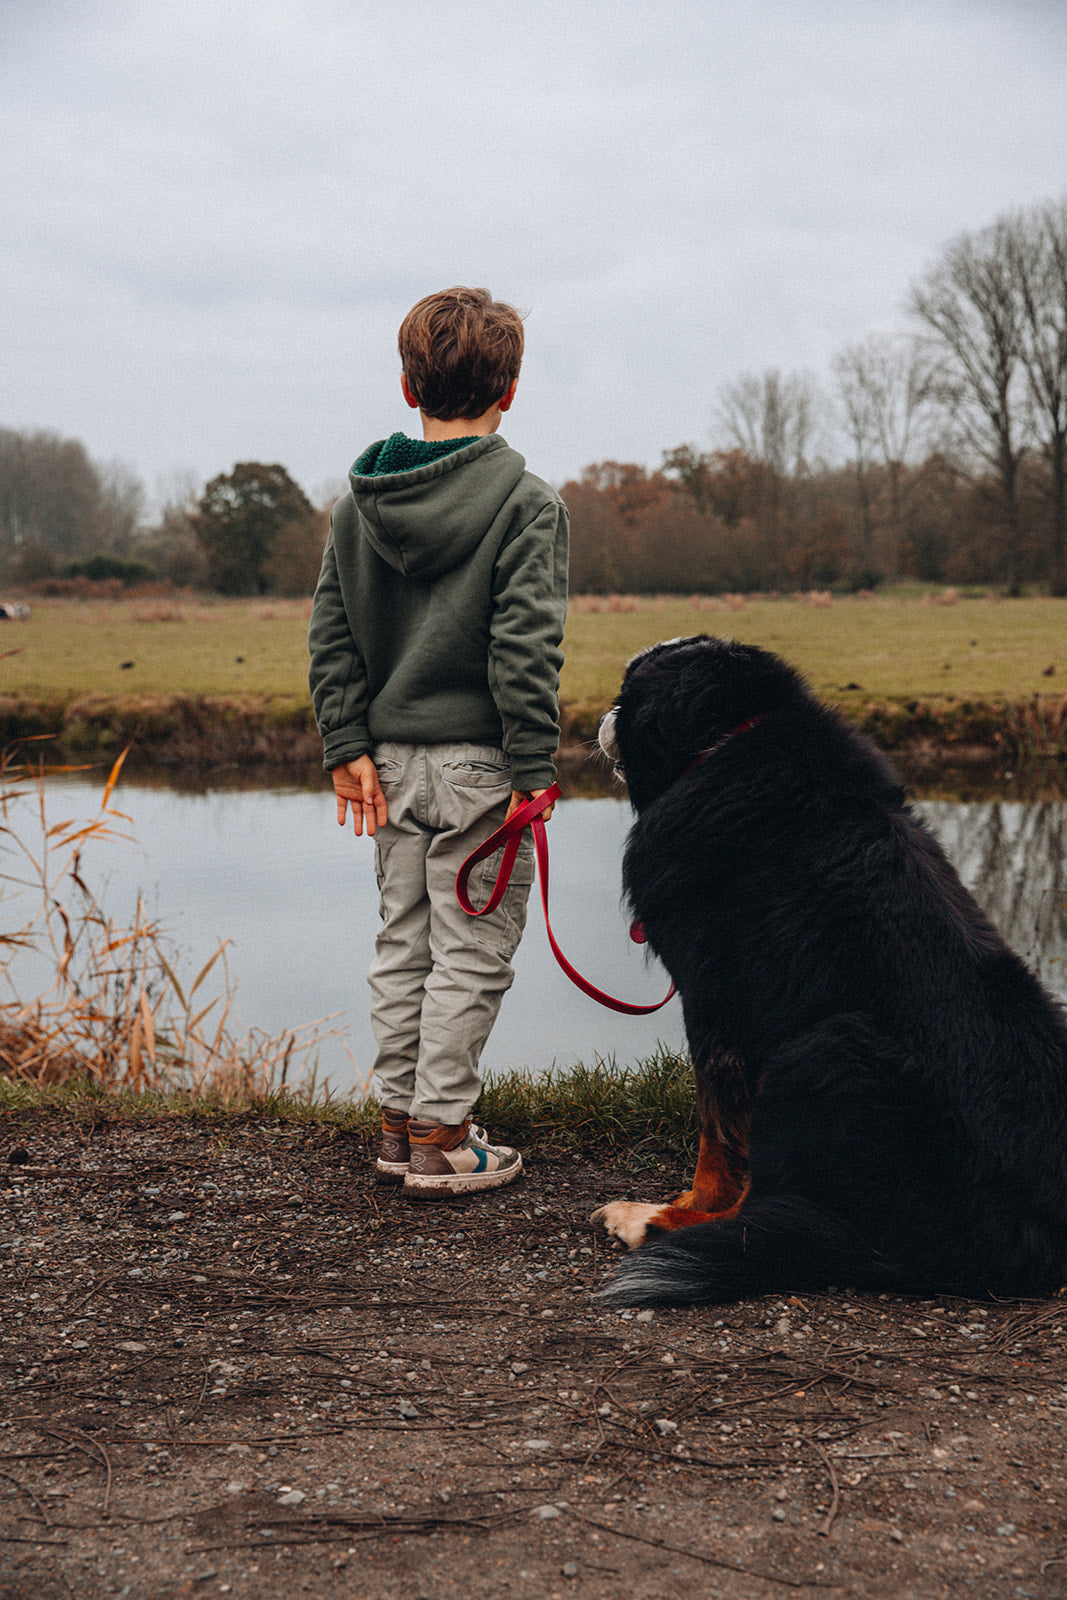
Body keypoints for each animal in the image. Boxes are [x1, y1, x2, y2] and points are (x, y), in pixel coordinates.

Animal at [591, 640, 1067, 1312]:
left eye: (628, 689)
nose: (600, 717)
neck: (731, 739)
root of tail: (1037, 1238)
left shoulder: (716, 1002)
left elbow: (719, 1133)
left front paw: (685, 1208)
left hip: (826, 1048)